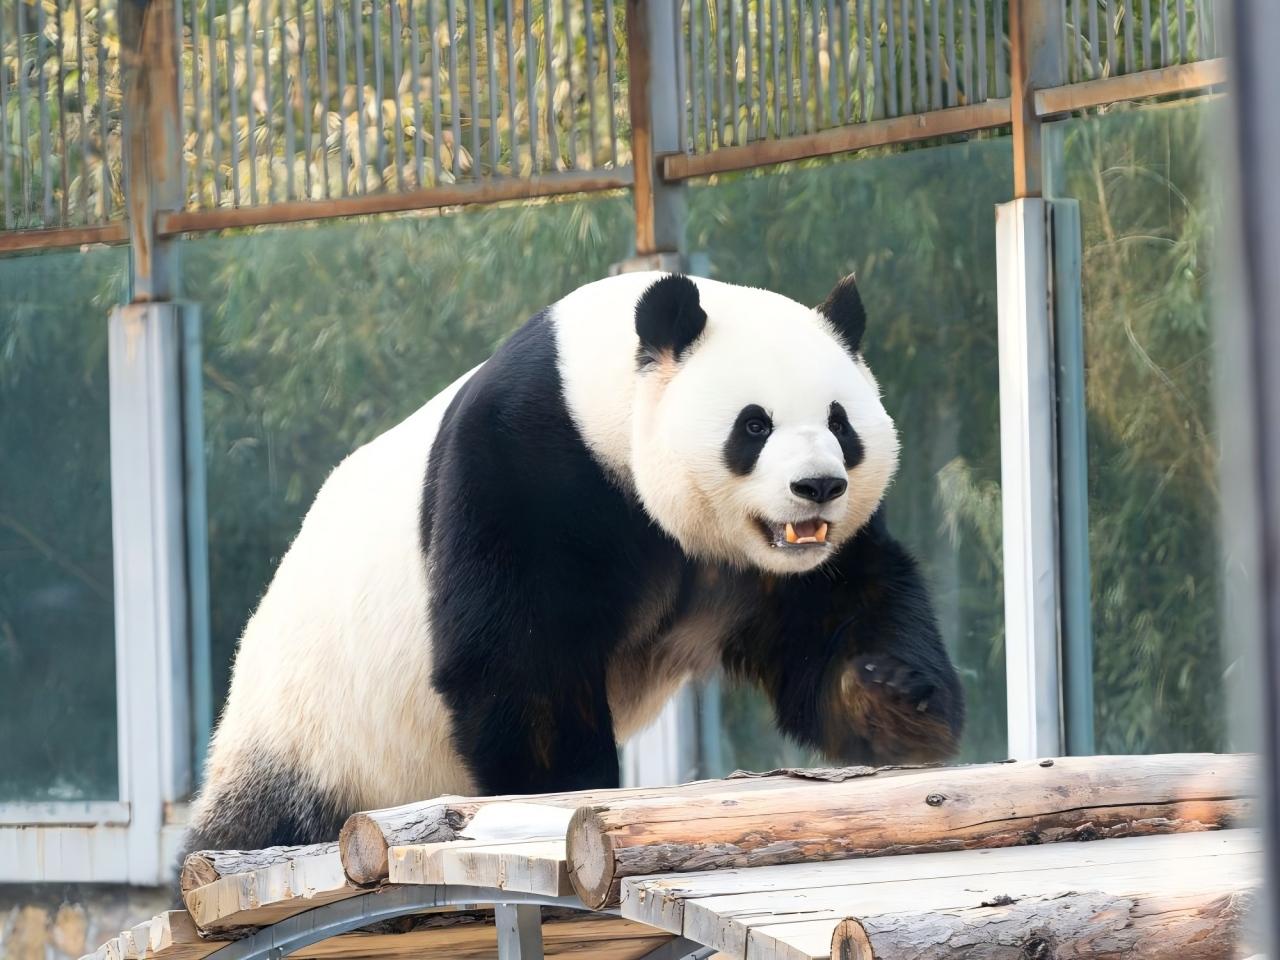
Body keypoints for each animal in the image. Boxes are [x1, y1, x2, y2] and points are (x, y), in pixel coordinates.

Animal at [184, 272, 963, 854]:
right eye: (754, 425)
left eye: (840, 422)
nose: (818, 487)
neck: (603, 391)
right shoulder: (525, 459)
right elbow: (518, 654)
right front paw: (568, 784)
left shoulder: (767, 566)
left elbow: (835, 612)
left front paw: (895, 698)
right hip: (311, 734)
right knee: (259, 822)